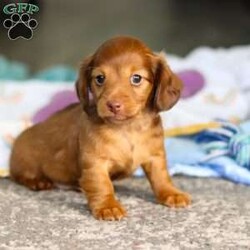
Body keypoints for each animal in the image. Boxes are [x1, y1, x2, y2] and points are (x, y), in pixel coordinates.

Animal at [8, 36, 190, 220]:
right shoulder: (95, 162)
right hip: (25, 162)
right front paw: (108, 206)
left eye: (136, 78)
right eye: (100, 78)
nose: (113, 105)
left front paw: (171, 193)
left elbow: (161, 176)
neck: (127, 129)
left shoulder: (155, 156)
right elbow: (102, 185)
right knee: (20, 176)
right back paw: (38, 181)